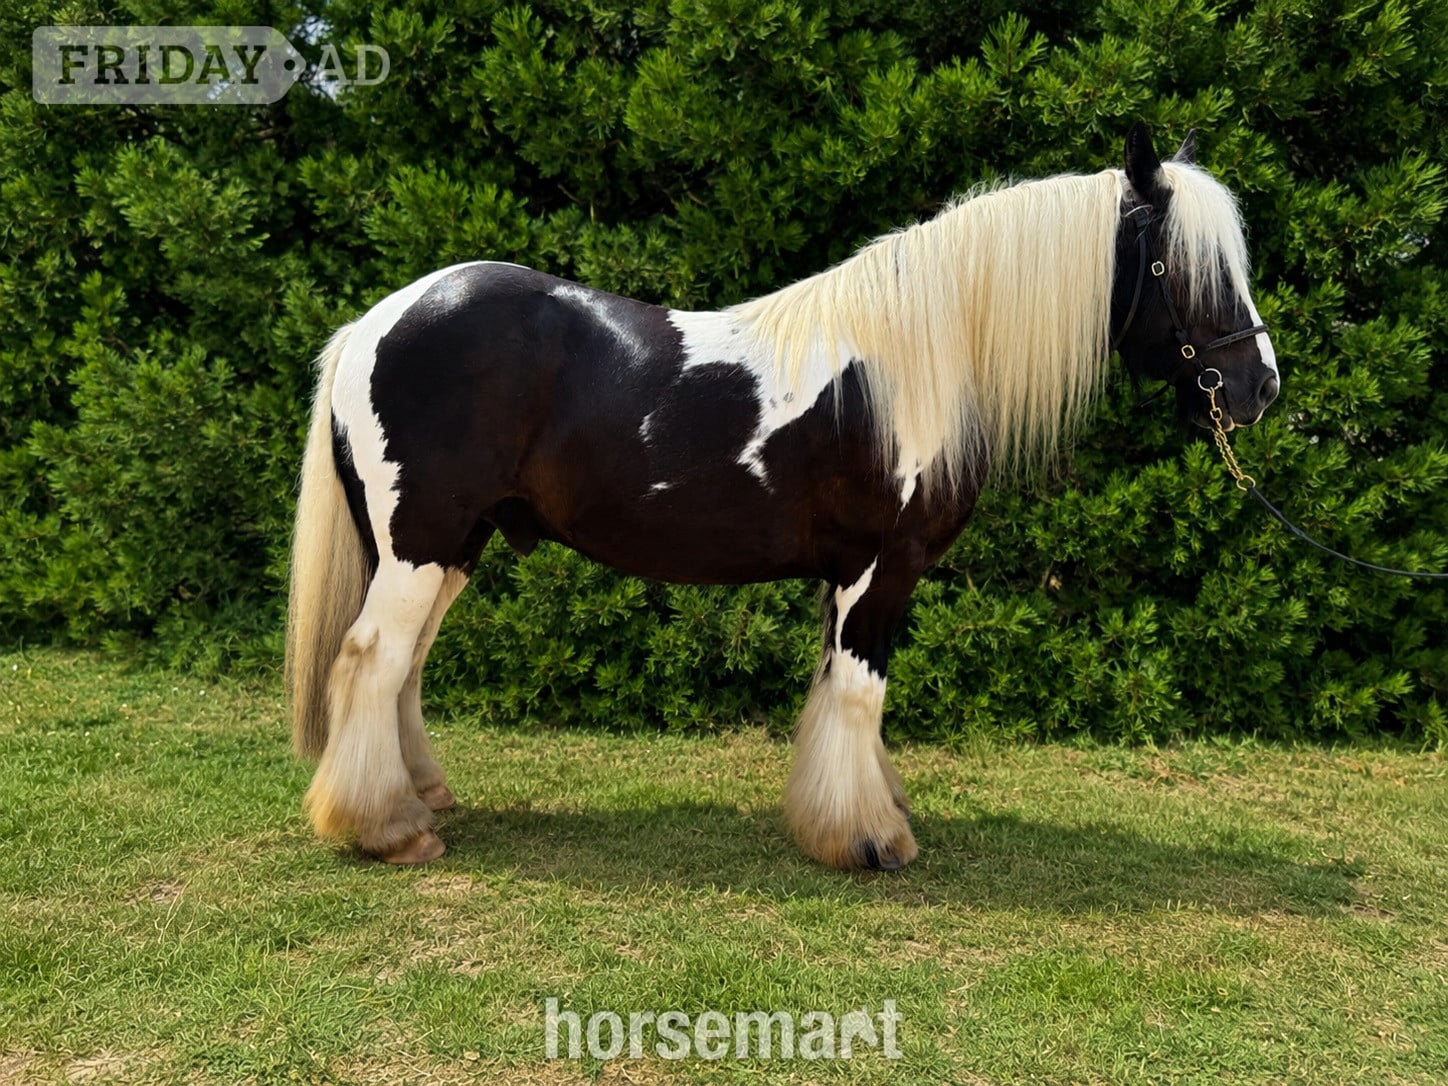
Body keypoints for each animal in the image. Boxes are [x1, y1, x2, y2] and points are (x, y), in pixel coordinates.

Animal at [285, 123, 1279, 869]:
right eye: (1187, 269)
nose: (1259, 386)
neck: (913, 365)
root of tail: (374, 322)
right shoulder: (882, 567)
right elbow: (861, 693)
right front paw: (869, 841)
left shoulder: (848, 573)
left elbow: (837, 690)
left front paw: (856, 812)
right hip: (421, 542)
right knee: (372, 656)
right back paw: (387, 829)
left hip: (456, 543)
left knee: (405, 664)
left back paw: (420, 800)